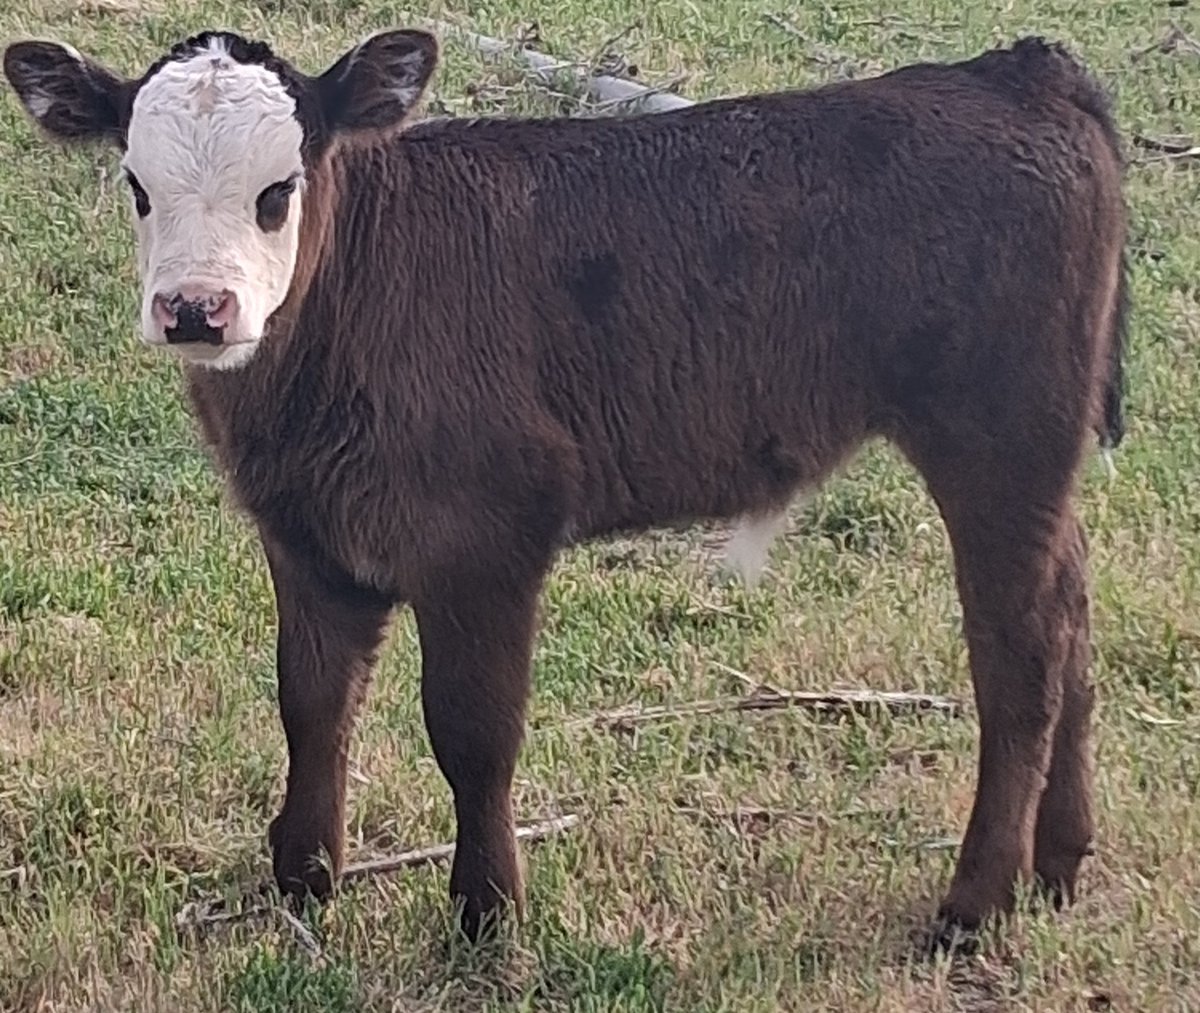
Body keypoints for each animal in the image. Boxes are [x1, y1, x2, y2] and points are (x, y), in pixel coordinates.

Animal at [2, 28, 1128, 948]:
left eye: (279, 189)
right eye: (138, 185)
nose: (196, 308)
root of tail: (1013, 72)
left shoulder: (486, 533)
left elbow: (472, 727)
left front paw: (486, 913)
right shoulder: (307, 534)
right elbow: (311, 701)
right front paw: (303, 881)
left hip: (999, 436)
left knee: (1022, 655)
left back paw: (975, 906)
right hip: (1038, 458)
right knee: (1073, 611)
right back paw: (1060, 865)